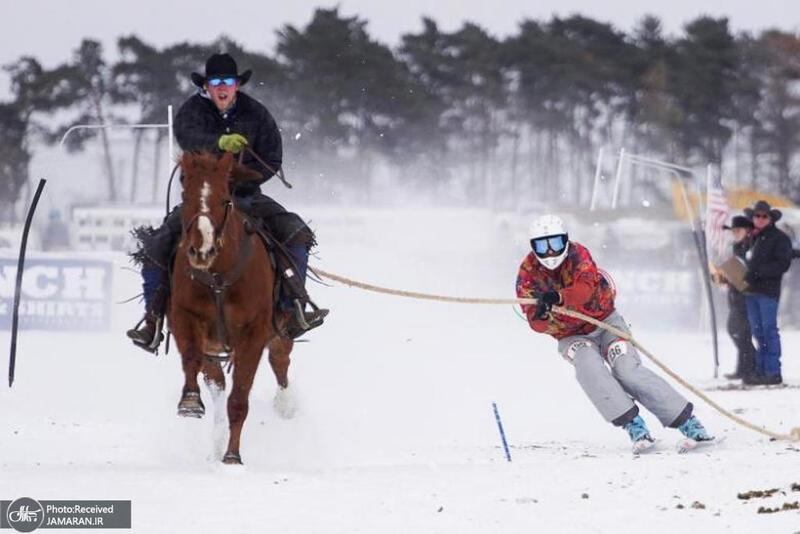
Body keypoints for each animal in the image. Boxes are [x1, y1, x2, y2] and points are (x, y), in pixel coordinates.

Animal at [170, 150, 296, 464]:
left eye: (225, 198)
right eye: (185, 195)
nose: (201, 250)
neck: (218, 277)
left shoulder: (253, 333)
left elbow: (239, 399)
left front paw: (232, 456)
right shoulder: (184, 317)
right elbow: (191, 358)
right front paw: (190, 401)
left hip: (282, 328)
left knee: (280, 359)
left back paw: (285, 404)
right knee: (215, 382)